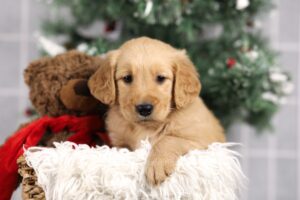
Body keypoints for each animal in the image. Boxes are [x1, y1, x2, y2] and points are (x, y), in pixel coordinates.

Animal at [88, 36, 225, 185]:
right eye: (127, 78)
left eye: (161, 78)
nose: (144, 108)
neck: (146, 127)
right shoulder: (119, 143)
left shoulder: (203, 142)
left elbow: (168, 139)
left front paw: (158, 165)